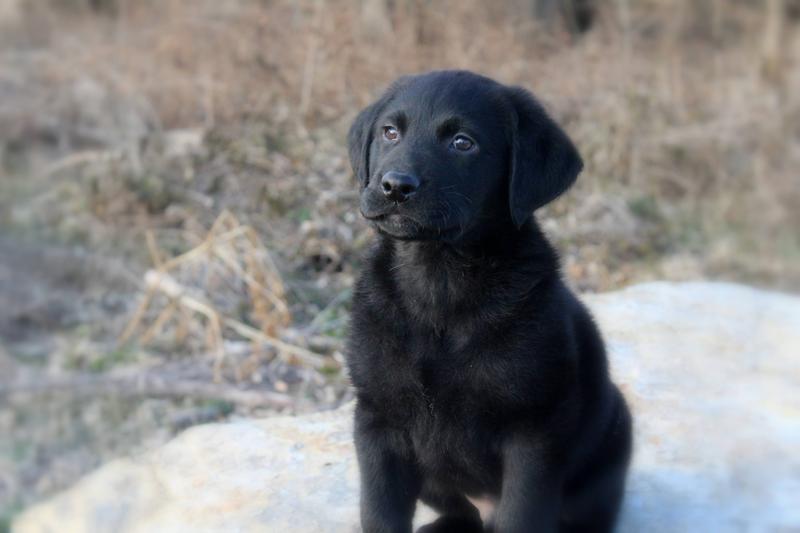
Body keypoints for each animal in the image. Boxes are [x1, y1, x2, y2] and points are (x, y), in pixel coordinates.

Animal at [346, 71, 636, 532]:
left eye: (463, 142)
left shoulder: (533, 432)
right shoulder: (378, 419)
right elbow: (379, 512)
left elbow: (522, 515)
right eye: (390, 132)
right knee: (462, 513)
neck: (439, 279)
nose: (394, 186)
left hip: (612, 442)